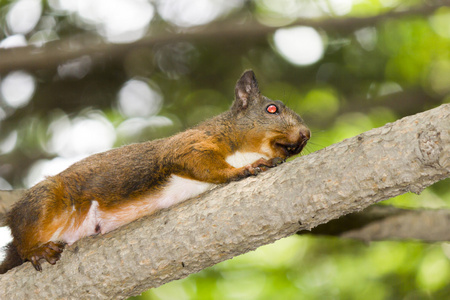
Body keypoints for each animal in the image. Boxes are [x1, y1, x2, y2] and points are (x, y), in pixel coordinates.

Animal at [0, 70, 310, 274]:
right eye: (272, 109)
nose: (306, 135)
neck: (242, 146)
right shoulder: (188, 144)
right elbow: (199, 162)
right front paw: (244, 169)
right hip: (45, 200)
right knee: (24, 235)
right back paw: (34, 250)